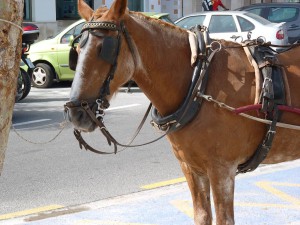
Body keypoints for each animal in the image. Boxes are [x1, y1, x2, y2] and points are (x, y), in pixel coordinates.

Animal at [66, 0, 300, 224]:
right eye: (77, 52)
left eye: (103, 50)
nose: (76, 114)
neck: (199, 81)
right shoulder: (191, 168)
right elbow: (202, 216)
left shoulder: (222, 170)